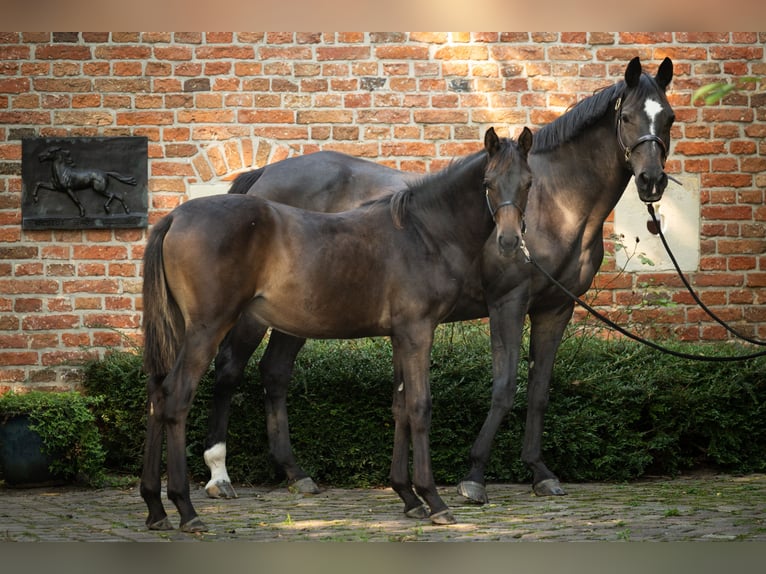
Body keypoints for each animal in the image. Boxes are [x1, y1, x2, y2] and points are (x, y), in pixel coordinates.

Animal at [140, 126, 536, 532]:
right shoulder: (418, 331)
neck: (423, 233)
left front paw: (408, 497)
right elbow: (419, 406)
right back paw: (187, 507)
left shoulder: (400, 336)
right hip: (208, 328)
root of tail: (173, 218)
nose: (509, 241)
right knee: (177, 395)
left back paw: (156, 507)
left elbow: (400, 408)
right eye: (488, 183)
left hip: (180, 329)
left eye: (528, 182)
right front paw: (433, 499)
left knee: (157, 393)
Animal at [201, 56, 676, 506]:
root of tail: (263, 177)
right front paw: (474, 475)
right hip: (256, 314)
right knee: (229, 367)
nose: (652, 182)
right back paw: (220, 477)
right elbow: (504, 386)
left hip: (301, 313)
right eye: (627, 117)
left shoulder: (555, 308)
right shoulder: (509, 300)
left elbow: (540, 389)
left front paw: (539, 472)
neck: (556, 202)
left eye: (669, 117)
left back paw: (294, 473)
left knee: (275, 372)